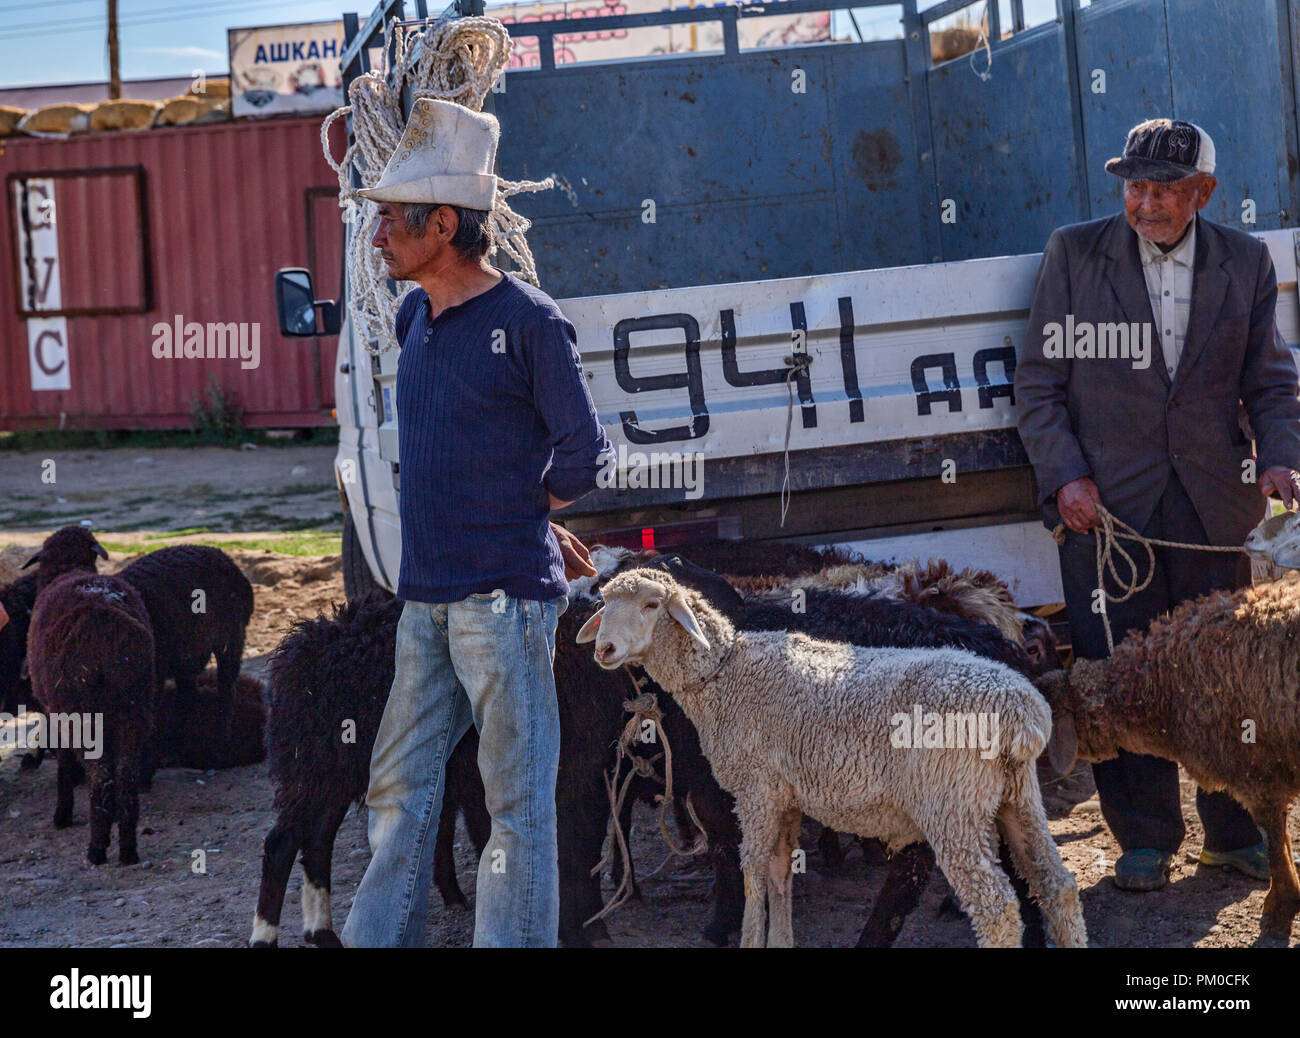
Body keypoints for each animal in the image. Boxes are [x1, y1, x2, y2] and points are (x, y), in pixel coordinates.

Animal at [250, 593, 488, 952]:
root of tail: (298, 651)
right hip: (314, 768)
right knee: (281, 843)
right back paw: (265, 938)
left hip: (332, 774)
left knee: (317, 841)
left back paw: (322, 933)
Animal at [579, 569, 1086, 952]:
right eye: (604, 604)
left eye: (651, 605)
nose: (604, 650)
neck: (726, 671)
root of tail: (1020, 707)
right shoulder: (786, 795)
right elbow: (780, 871)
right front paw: (781, 941)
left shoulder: (756, 789)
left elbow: (752, 871)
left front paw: (750, 938)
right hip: (1016, 796)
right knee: (1056, 886)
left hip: (952, 803)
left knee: (995, 905)